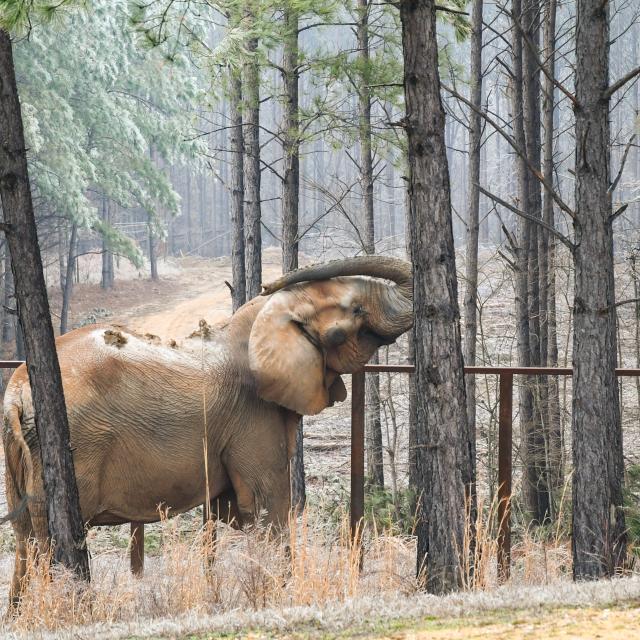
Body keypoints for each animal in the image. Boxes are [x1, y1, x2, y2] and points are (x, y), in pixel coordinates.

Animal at [2, 256, 413, 607]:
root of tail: (17, 392)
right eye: (355, 313)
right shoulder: (252, 417)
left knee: (24, 537)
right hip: (77, 449)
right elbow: (266, 505)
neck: (264, 317)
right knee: (47, 537)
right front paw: (277, 597)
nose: (269, 282)